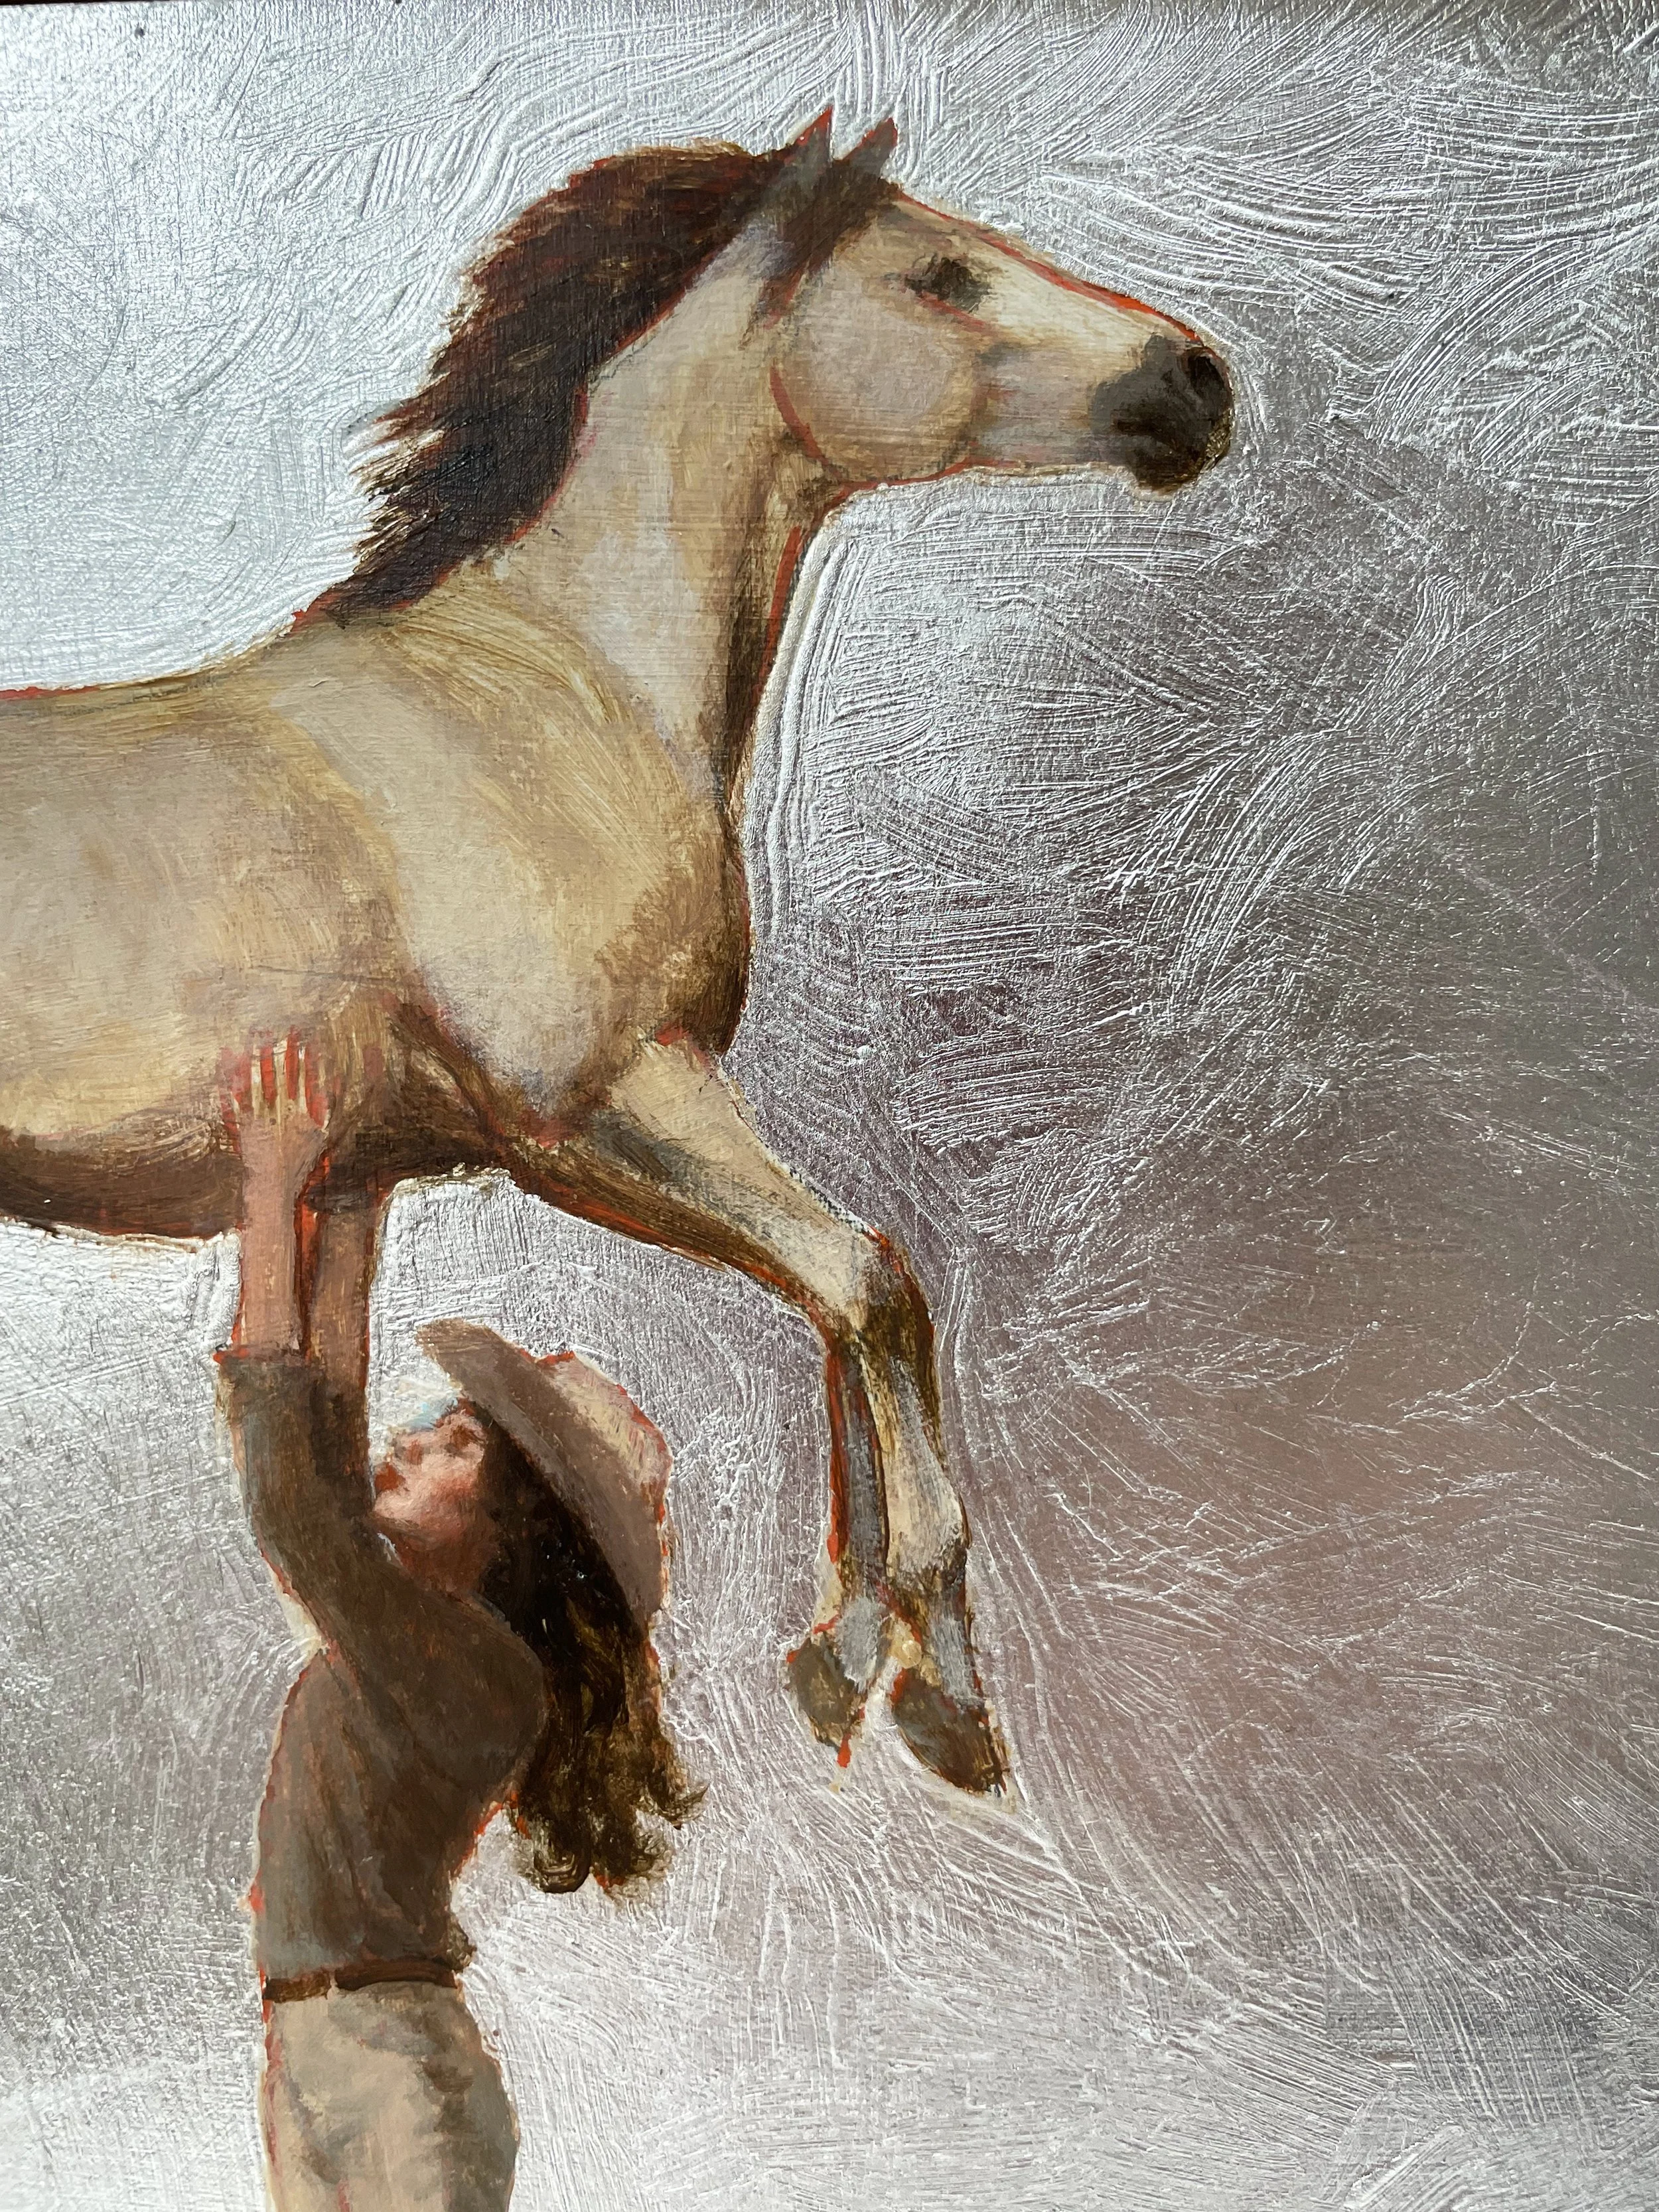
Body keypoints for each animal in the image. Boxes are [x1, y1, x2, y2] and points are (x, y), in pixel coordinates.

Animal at [0, 111, 1232, 1793]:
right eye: (938, 274)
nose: (1196, 384)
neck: (550, 687)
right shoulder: (595, 1105)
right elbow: (871, 1282)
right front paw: (912, 1672)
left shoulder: (390, 1167)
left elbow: (839, 1293)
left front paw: (871, 1661)